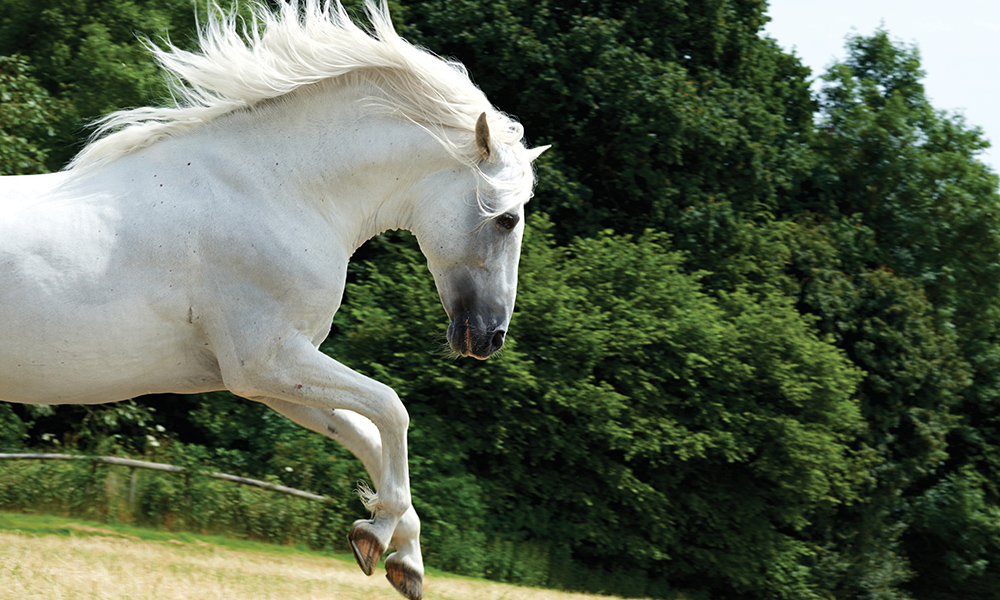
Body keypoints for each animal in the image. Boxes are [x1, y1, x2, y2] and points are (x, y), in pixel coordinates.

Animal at [0, 2, 548, 596]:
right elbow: (392, 410)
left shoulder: (271, 378)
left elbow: (366, 434)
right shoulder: (264, 362)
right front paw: (377, 533)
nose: (490, 338)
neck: (281, 190)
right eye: (507, 218)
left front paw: (404, 559)